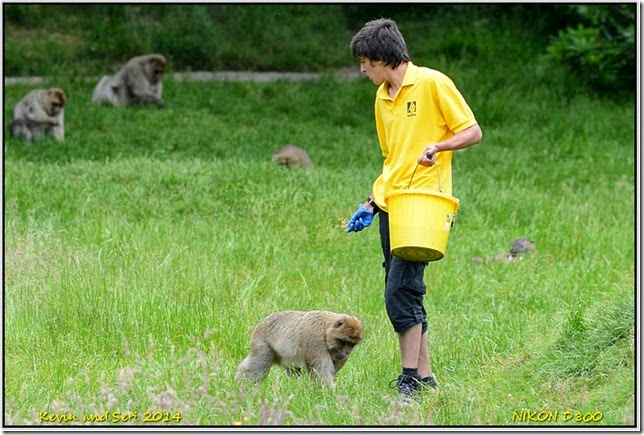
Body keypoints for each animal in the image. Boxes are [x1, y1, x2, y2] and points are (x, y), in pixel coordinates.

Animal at [236, 310, 364, 388]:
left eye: (352, 345)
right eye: (345, 342)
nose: (347, 352)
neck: (325, 330)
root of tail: (263, 322)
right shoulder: (314, 340)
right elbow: (320, 370)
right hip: (262, 341)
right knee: (258, 365)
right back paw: (242, 384)